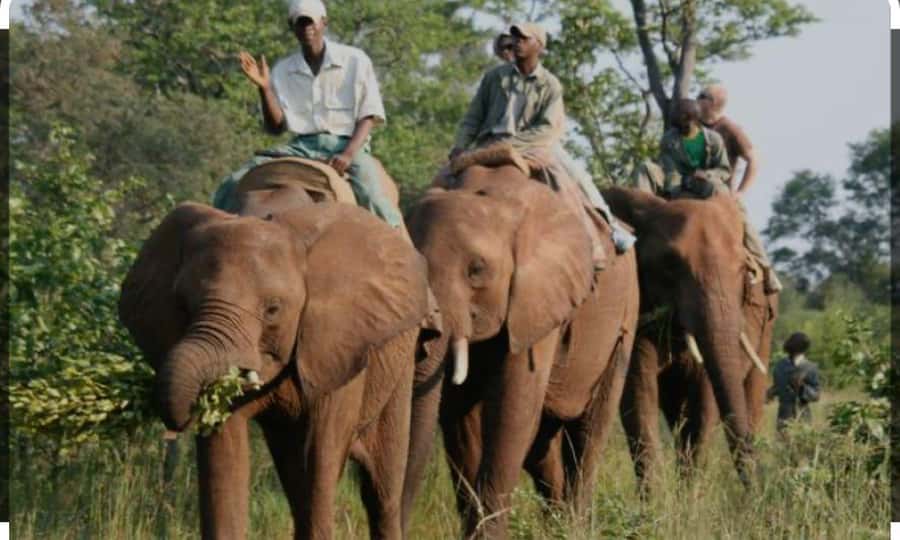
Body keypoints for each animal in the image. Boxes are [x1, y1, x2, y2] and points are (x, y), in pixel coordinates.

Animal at [118, 195, 432, 540]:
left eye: (272, 309)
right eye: (183, 305)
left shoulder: (336, 344)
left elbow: (321, 453)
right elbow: (224, 458)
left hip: (399, 367)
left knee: (380, 489)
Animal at [401, 164, 639, 539]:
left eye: (476, 270)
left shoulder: (537, 295)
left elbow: (513, 407)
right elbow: (459, 414)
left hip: (626, 316)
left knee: (588, 436)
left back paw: (574, 528)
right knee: (542, 447)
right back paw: (556, 528)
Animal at [602, 187, 778, 490]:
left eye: (743, 271)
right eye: (670, 264)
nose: (758, 493)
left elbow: (704, 403)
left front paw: (687, 498)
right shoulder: (639, 305)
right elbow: (638, 394)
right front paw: (656, 501)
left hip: (766, 333)